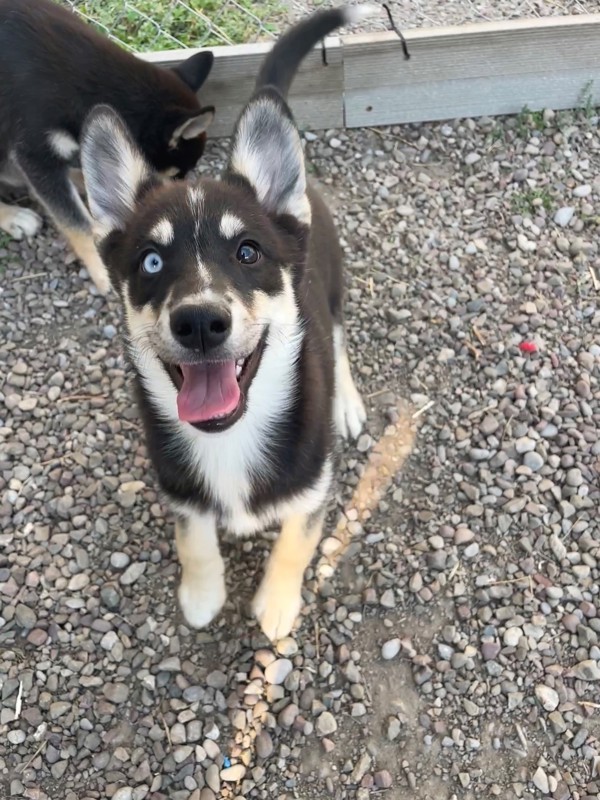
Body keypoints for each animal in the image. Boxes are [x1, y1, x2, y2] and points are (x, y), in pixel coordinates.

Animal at [77, 4, 372, 644]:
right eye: (151, 262)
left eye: (247, 252)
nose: (199, 322)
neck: (230, 438)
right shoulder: (179, 487)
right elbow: (193, 536)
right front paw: (202, 593)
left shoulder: (314, 486)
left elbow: (296, 541)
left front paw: (277, 604)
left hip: (333, 291)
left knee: (339, 345)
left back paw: (347, 402)